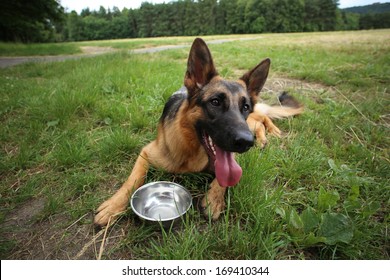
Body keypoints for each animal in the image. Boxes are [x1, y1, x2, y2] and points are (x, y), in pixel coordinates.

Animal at [93, 38, 302, 228]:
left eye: (245, 106)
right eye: (215, 102)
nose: (246, 142)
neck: (192, 150)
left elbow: (224, 180)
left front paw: (214, 200)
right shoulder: (146, 153)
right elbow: (132, 180)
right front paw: (113, 206)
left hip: (250, 121)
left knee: (262, 116)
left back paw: (271, 132)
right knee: (260, 120)